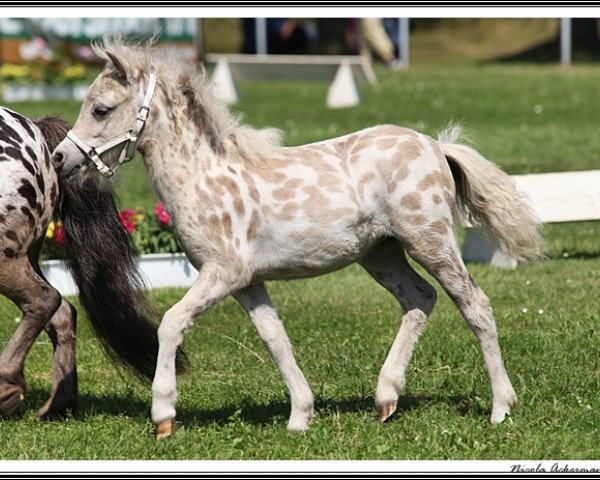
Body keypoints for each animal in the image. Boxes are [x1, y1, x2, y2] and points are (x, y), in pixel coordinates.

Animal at [51, 38, 544, 438]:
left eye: (100, 109)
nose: (59, 158)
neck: (205, 176)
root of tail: (435, 146)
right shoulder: (248, 283)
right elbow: (275, 339)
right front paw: (300, 416)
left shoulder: (223, 274)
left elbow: (171, 323)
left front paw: (163, 416)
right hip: (381, 255)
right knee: (420, 299)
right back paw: (385, 399)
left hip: (431, 242)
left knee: (474, 305)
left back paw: (500, 408)